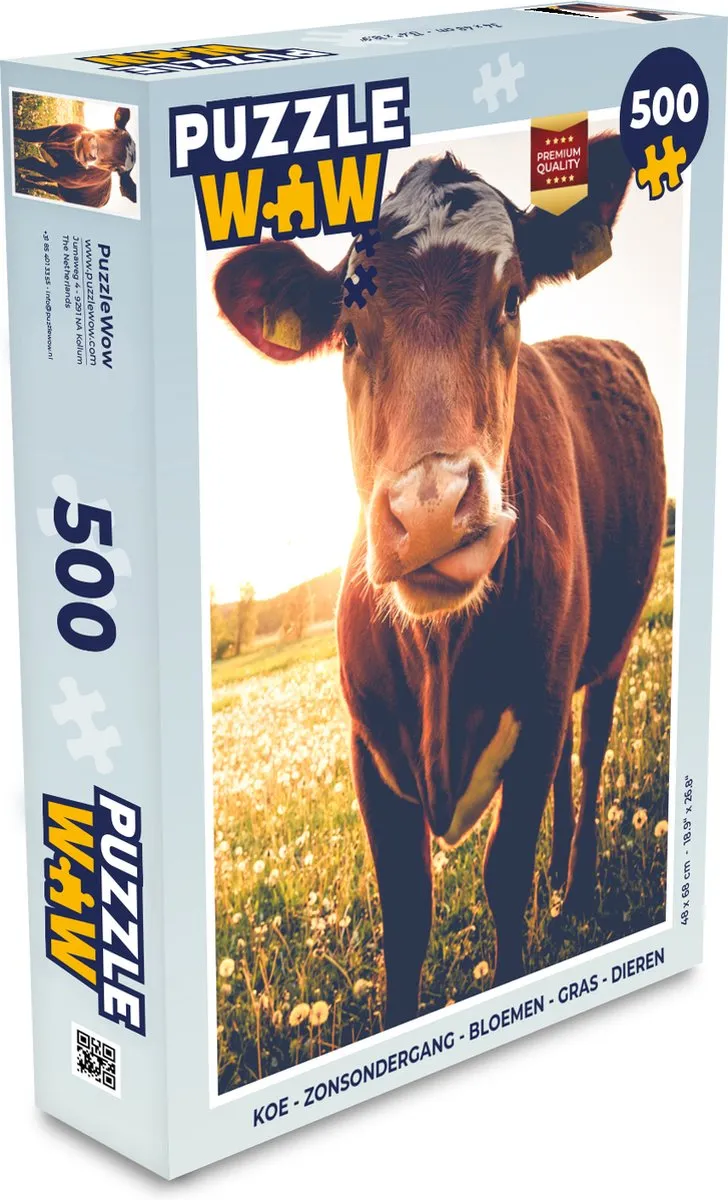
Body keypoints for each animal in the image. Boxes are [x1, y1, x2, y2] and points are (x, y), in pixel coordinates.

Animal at [213, 134, 666, 1028]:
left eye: (512, 299)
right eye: (348, 331)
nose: (429, 513)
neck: (442, 658)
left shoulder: (535, 712)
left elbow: (503, 876)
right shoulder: (368, 748)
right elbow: (408, 916)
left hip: (610, 645)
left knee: (591, 747)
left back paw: (575, 889)